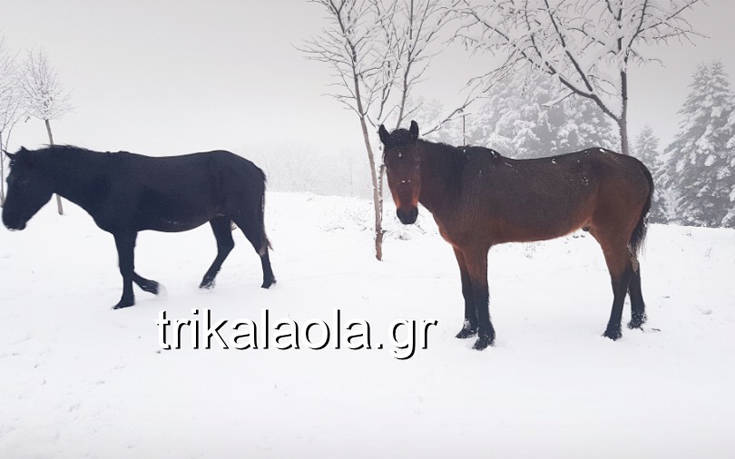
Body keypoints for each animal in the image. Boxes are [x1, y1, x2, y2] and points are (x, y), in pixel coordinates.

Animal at [1, 145, 276, 310]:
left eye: (23, 180)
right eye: (9, 179)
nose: (8, 221)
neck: (103, 180)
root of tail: (254, 168)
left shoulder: (125, 232)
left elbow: (125, 267)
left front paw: (135, 297)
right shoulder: (125, 233)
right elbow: (126, 267)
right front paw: (143, 292)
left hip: (243, 214)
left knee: (259, 246)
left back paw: (268, 283)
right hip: (219, 217)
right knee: (226, 246)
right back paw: (206, 283)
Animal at [382, 120, 652, 350]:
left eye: (417, 162)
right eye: (387, 164)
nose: (407, 214)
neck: (458, 183)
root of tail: (634, 164)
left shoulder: (475, 248)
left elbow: (481, 290)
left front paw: (484, 339)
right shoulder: (459, 248)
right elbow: (467, 289)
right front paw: (467, 330)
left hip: (611, 236)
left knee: (620, 278)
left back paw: (612, 332)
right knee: (634, 268)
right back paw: (636, 321)